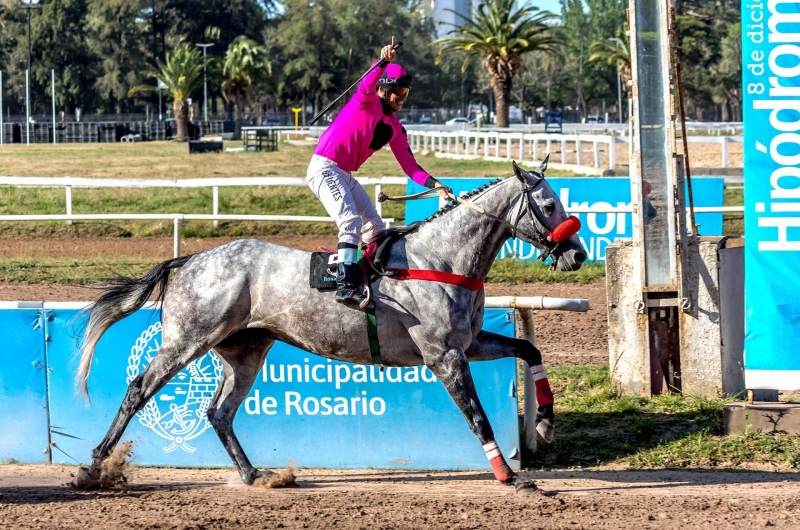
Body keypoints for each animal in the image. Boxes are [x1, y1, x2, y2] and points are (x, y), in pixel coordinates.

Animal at [76, 160, 588, 490]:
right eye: (548, 205)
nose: (578, 254)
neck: (440, 260)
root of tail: (189, 260)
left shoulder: (470, 342)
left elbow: (530, 350)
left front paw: (545, 423)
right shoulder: (442, 354)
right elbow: (477, 416)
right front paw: (510, 477)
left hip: (245, 351)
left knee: (219, 412)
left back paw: (254, 475)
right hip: (187, 339)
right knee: (139, 388)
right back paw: (95, 466)